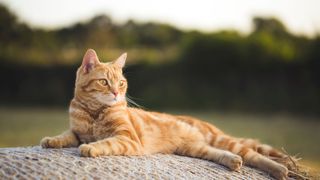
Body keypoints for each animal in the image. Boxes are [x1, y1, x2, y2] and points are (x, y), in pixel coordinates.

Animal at [41, 48, 288, 179]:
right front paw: (51, 140)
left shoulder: (127, 139)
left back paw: (280, 170)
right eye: (104, 82)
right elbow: (65, 136)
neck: (94, 113)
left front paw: (91, 148)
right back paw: (233, 162)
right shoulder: (77, 132)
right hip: (196, 148)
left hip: (222, 140)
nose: (116, 93)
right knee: (222, 154)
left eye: (121, 83)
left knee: (254, 155)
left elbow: (106, 143)